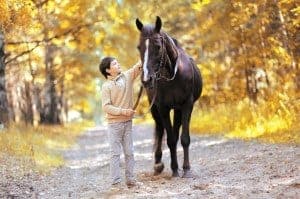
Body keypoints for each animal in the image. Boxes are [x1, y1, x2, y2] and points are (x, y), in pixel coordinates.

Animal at [135, 15, 202, 177]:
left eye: (158, 46)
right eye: (139, 47)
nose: (146, 80)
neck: (174, 75)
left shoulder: (187, 105)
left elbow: (184, 138)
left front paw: (186, 169)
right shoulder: (162, 108)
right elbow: (170, 139)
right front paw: (174, 169)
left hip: (177, 109)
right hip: (155, 110)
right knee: (160, 131)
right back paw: (158, 164)